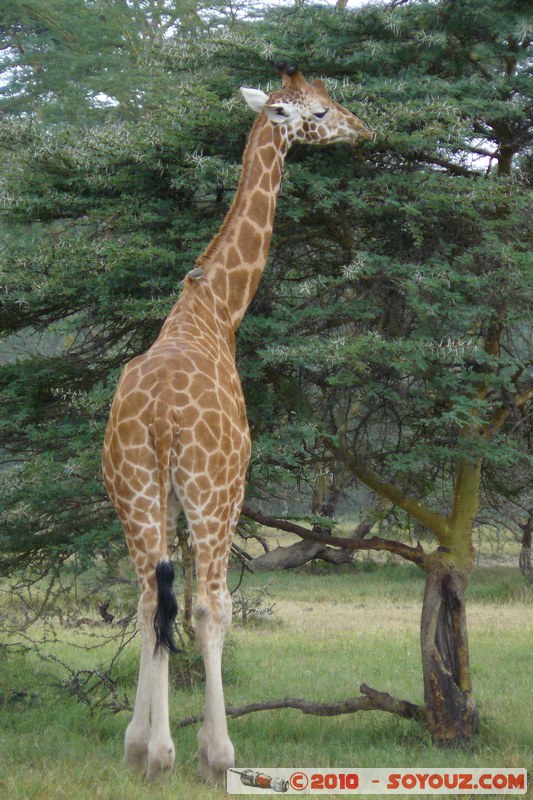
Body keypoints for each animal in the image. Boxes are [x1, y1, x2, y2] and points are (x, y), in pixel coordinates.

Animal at [102, 62, 371, 782]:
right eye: (318, 109)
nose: (363, 129)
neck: (216, 311)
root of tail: (160, 417)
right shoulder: (226, 488)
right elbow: (206, 607)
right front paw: (206, 753)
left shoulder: (164, 498)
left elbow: (153, 604)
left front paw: (142, 744)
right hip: (211, 492)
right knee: (206, 603)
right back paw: (200, 753)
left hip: (133, 491)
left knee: (148, 598)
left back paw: (143, 750)